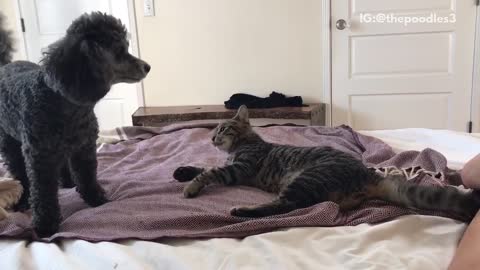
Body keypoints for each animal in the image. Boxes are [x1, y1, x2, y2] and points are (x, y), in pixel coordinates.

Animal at [174, 105, 478, 219]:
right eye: (213, 131)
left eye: (222, 129)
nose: (211, 137)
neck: (242, 144)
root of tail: (367, 173)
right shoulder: (233, 167)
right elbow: (201, 167)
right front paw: (182, 172)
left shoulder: (238, 168)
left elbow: (209, 172)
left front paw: (190, 187)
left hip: (303, 179)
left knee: (286, 206)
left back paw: (242, 210)